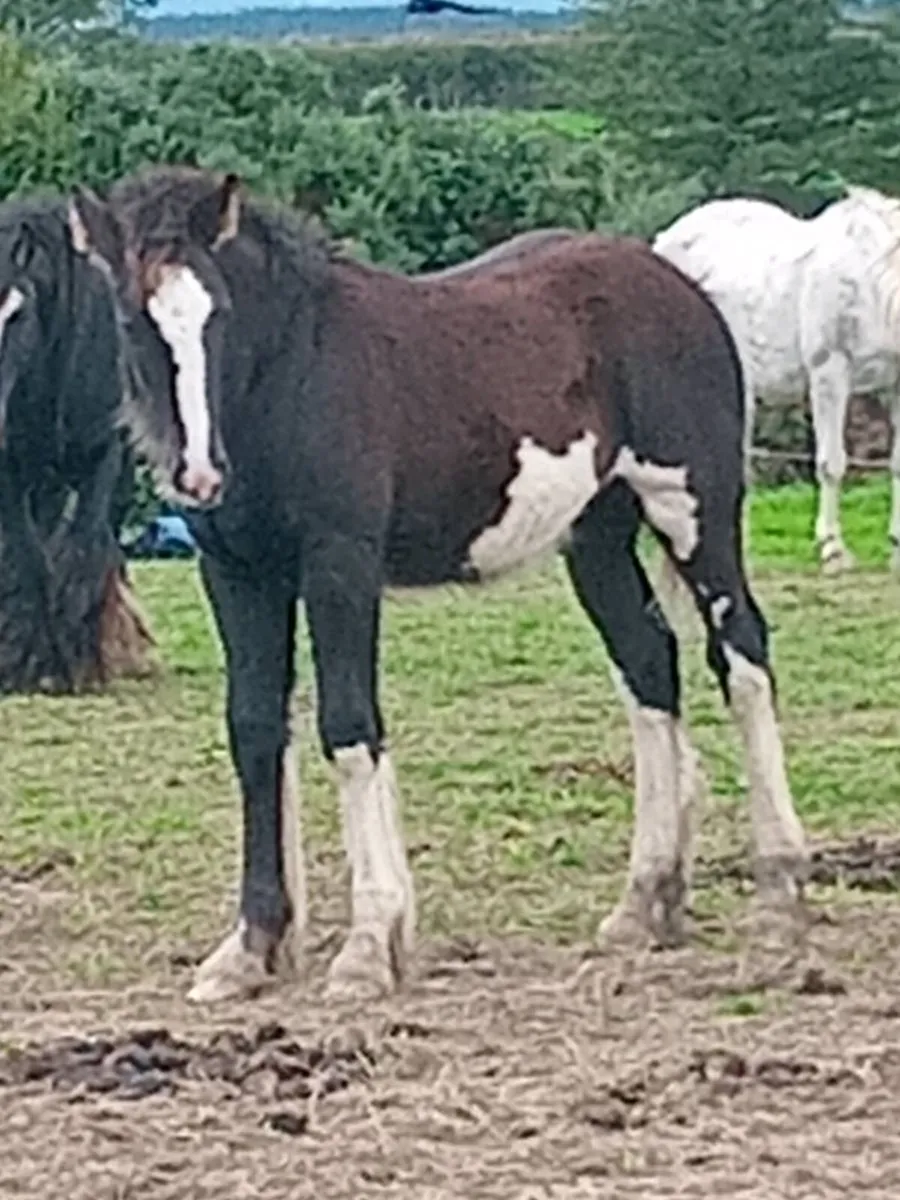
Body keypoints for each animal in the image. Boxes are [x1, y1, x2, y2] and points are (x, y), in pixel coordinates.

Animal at [0, 195, 155, 694]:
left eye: (17, 311)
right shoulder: (11, 469)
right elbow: (29, 559)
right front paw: (36, 661)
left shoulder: (101, 458)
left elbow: (86, 550)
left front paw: (82, 658)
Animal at [68, 165, 810, 1006]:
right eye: (132, 319)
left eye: (217, 312)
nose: (198, 475)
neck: (291, 374)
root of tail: (680, 284)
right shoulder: (236, 573)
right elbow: (255, 732)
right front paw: (251, 947)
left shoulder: (340, 563)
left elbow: (348, 726)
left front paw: (368, 945)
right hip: (596, 539)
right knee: (650, 667)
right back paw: (644, 901)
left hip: (694, 510)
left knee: (741, 658)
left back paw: (778, 901)